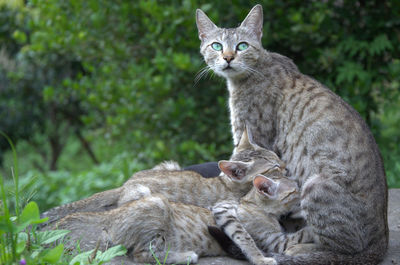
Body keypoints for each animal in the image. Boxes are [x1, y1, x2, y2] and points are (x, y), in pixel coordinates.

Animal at [41, 129, 284, 224]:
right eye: (274, 166)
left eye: (276, 157)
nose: (284, 164)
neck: (228, 184)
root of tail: (126, 183)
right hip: (144, 192)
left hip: (172, 164)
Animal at [195, 4, 390, 264]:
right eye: (216, 46)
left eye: (242, 46)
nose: (227, 58)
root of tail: (382, 239)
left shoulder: (251, 134)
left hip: (316, 185)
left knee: (341, 249)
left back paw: (299, 249)